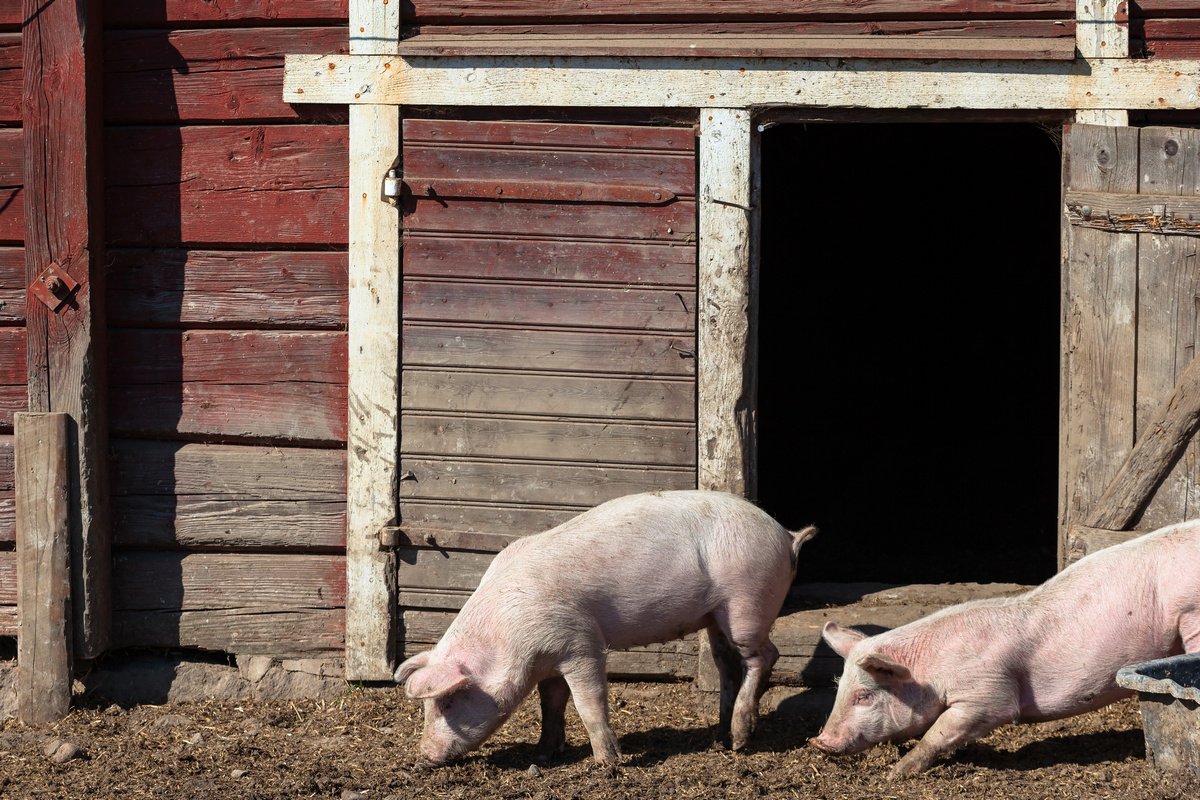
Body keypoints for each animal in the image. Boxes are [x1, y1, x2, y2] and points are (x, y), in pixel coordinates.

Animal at [393, 491, 816, 767]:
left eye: (447, 702)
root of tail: (786, 536)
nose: (423, 758)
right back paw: (720, 740)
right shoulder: (550, 658)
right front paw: (543, 754)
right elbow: (551, 704)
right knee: (728, 667)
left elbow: (588, 701)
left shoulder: (580, 643)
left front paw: (608, 765)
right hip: (716, 618)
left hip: (747, 603)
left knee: (764, 656)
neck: (506, 634)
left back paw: (742, 738)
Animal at [806, 520, 1200, 777]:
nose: (818, 742)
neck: (931, 672)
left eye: (864, 696)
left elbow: (940, 731)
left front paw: (897, 773)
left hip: (1190, 612)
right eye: (838, 690)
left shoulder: (988, 694)